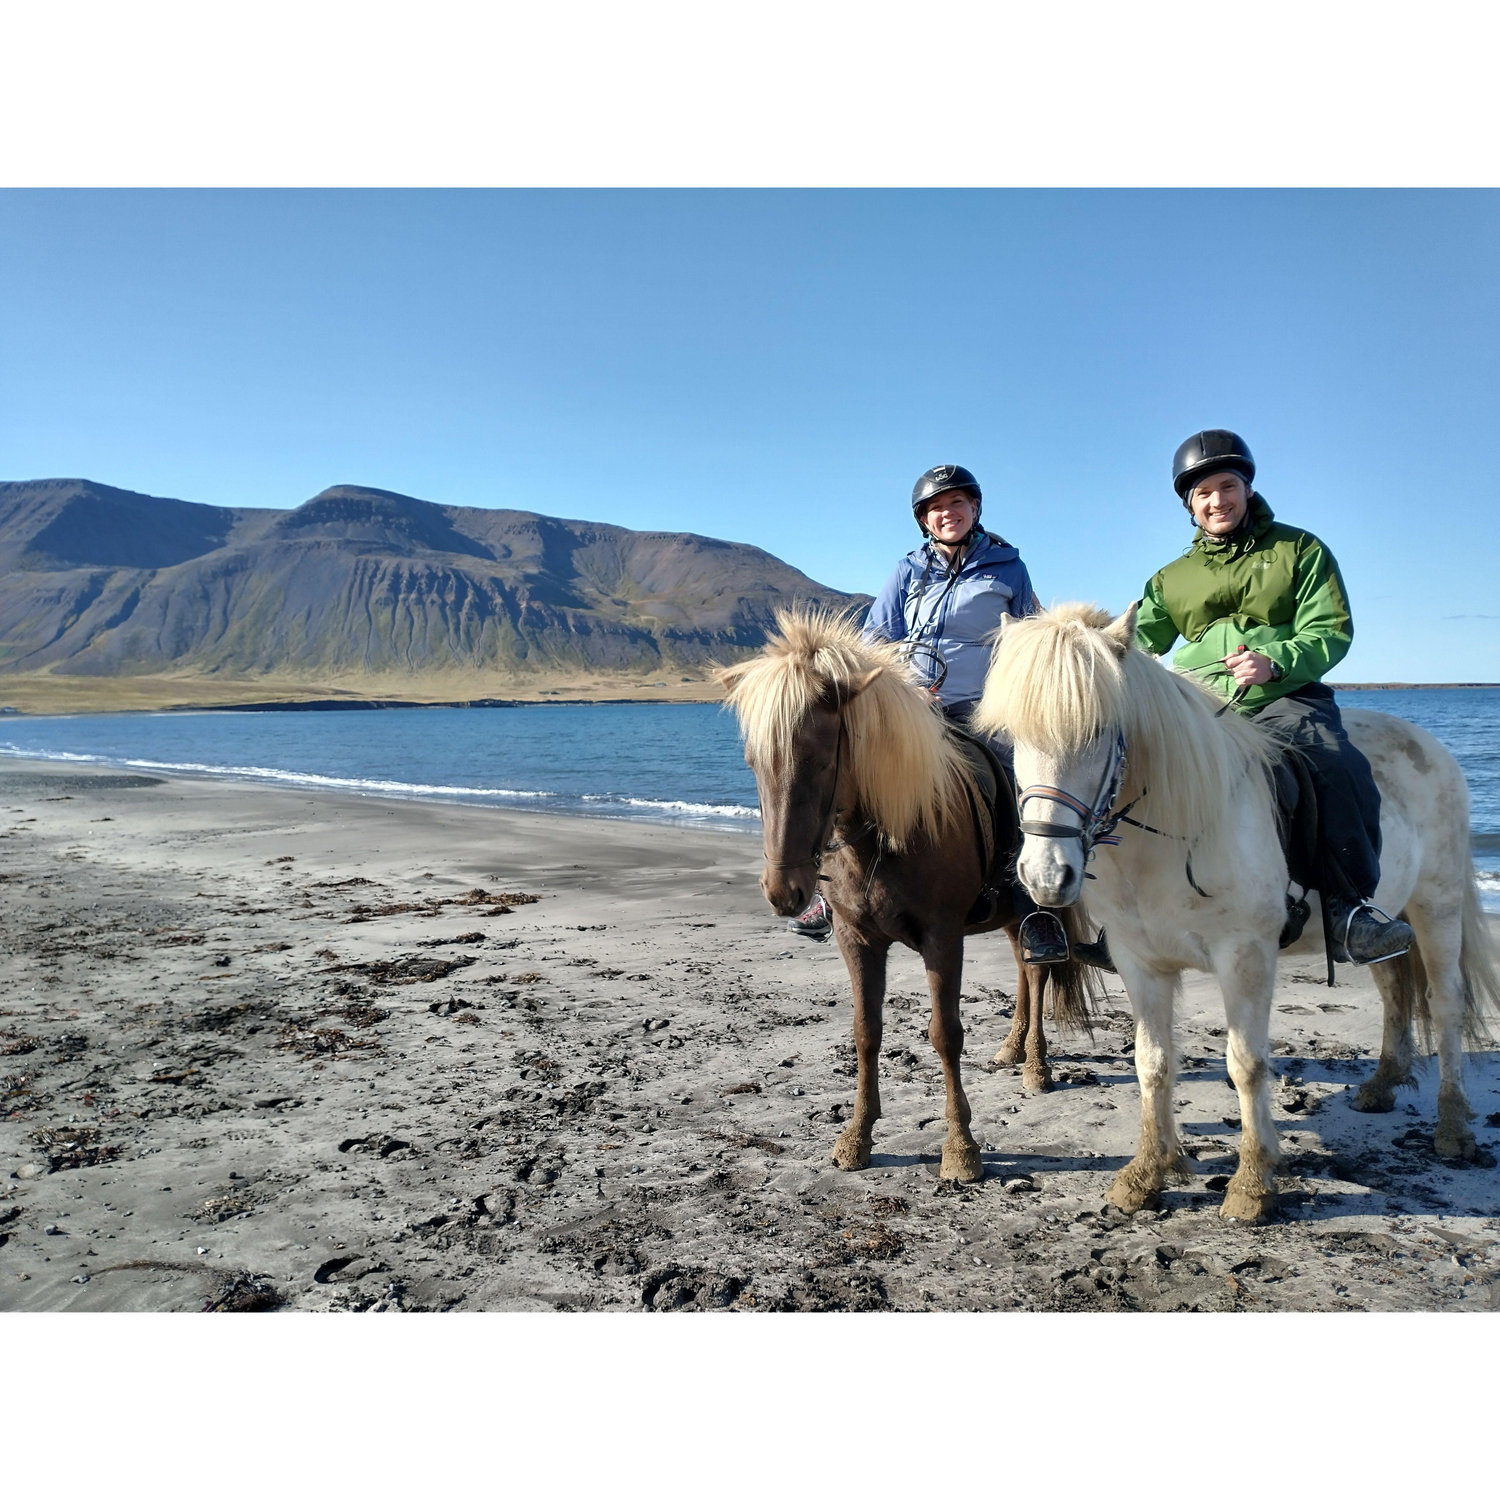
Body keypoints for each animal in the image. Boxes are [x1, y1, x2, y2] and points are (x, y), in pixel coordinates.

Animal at [716, 608, 1098, 1183]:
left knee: (1038, 971)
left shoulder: (943, 939)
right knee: (1022, 967)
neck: (889, 833)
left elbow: (945, 1033)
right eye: (753, 761)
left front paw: (960, 1148)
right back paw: (1012, 1047)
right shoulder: (856, 939)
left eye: (820, 757)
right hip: (1010, 916)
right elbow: (865, 1031)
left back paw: (1035, 1065)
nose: (784, 891)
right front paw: (856, 1136)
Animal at [975, 601, 1500, 1223]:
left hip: (1437, 907)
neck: (1172, 831)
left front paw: (1252, 1185)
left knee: (1445, 1006)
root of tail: (1429, 745)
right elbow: (1152, 1062)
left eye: (1099, 731)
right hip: (1388, 917)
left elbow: (1245, 1064)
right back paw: (1380, 1086)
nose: (1046, 876)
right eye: (1012, 737)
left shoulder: (1244, 956)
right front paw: (1146, 1175)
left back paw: (1453, 1128)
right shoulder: (1138, 960)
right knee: (1395, 986)